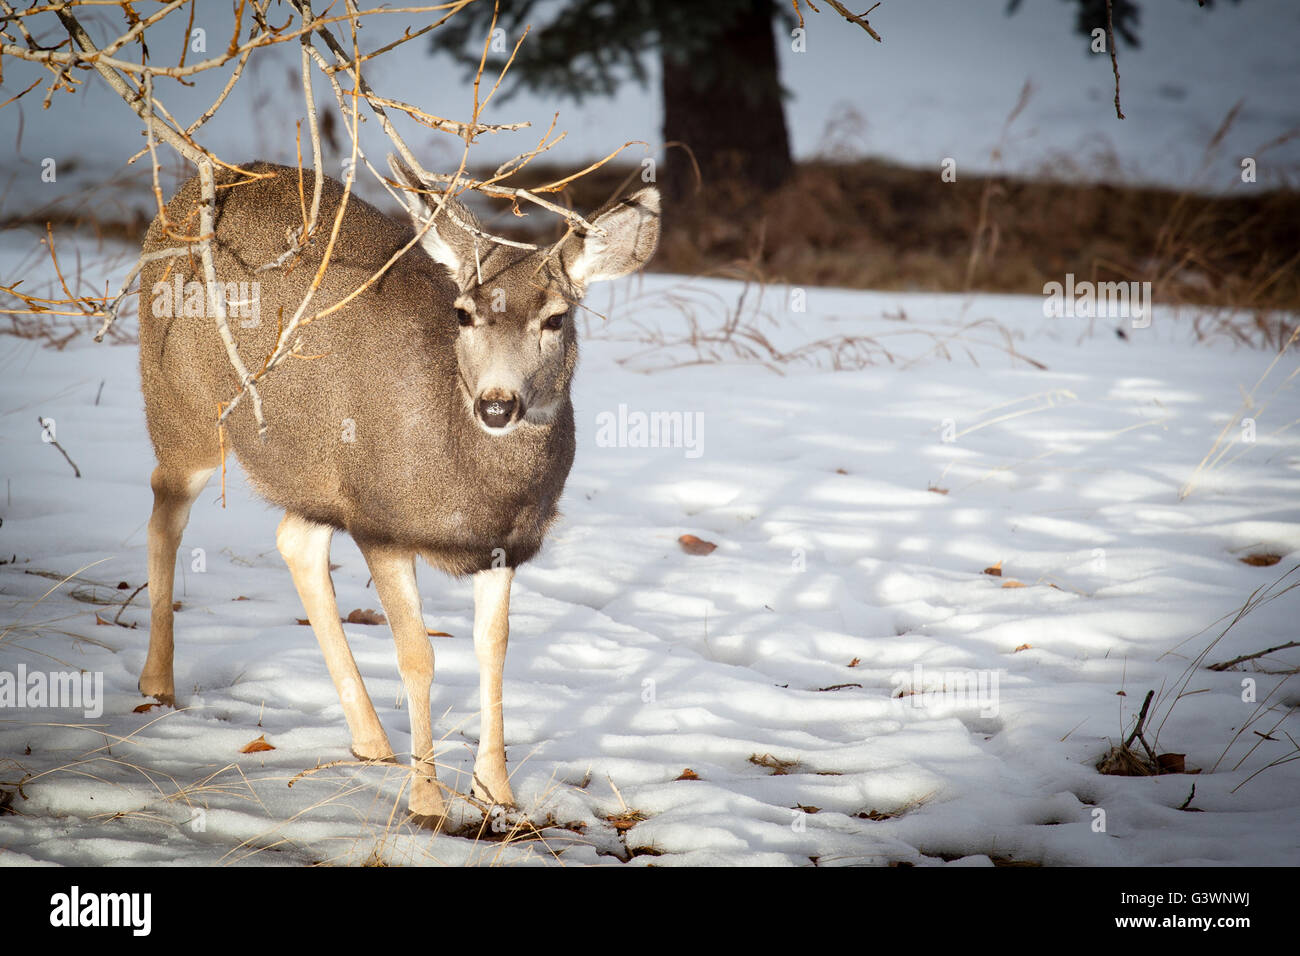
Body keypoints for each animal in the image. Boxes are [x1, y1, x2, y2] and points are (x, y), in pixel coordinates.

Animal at [139, 157, 660, 822]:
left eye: (556, 318)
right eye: (463, 313)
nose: (497, 404)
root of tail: (189, 197)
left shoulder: (503, 546)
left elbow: (494, 649)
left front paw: (497, 791)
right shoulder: (381, 523)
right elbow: (418, 656)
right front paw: (427, 802)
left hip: (319, 476)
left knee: (293, 539)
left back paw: (370, 741)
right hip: (182, 409)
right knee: (165, 512)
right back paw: (157, 685)